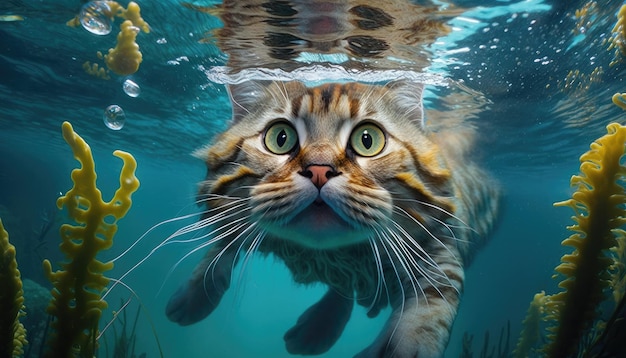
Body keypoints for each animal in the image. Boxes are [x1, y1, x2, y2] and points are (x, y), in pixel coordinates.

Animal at [165, 81, 498, 358]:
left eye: (367, 140)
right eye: (280, 138)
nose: (319, 170)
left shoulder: (440, 250)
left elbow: (429, 312)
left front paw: (403, 348)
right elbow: (222, 245)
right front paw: (195, 295)